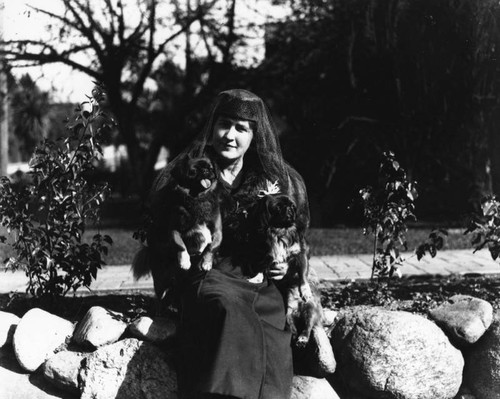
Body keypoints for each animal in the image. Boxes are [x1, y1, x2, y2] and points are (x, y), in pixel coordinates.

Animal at [132, 154, 222, 306]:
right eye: (194, 171)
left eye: (210, 169)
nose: (205, 171)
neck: (197, 198)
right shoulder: (174, 230)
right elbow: (181, 246)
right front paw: (185, 261)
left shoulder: (217, 231)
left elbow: (210, 247)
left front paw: (206, 262)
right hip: (161, 279)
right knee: (161, 296)